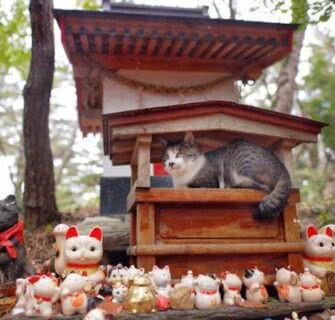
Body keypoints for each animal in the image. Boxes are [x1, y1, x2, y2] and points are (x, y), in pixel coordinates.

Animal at [161, 131, 292, 220]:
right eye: (167, 156)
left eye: (179, 154)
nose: (171, 163)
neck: (182, 175)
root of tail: (282, 167)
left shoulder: (209, 184)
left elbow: (190, 187)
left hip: (243, 162)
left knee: (263, 186)